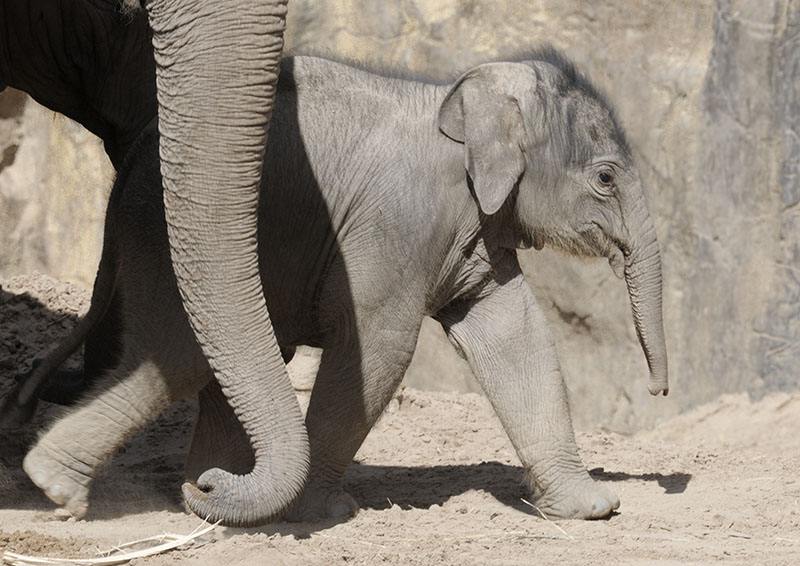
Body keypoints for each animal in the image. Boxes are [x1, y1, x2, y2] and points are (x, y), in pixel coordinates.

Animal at [20, 50, 669, 525]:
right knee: (179, 354)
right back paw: (61, 488)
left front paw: (592, 509)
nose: (657, 390)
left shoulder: (476, 230)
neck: (459, 97)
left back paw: (203, 492)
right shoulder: (394, 225)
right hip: (167, 238)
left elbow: (518, 336)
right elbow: (379, 345)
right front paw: (323, 511)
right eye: (605, 178)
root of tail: (132, 155)